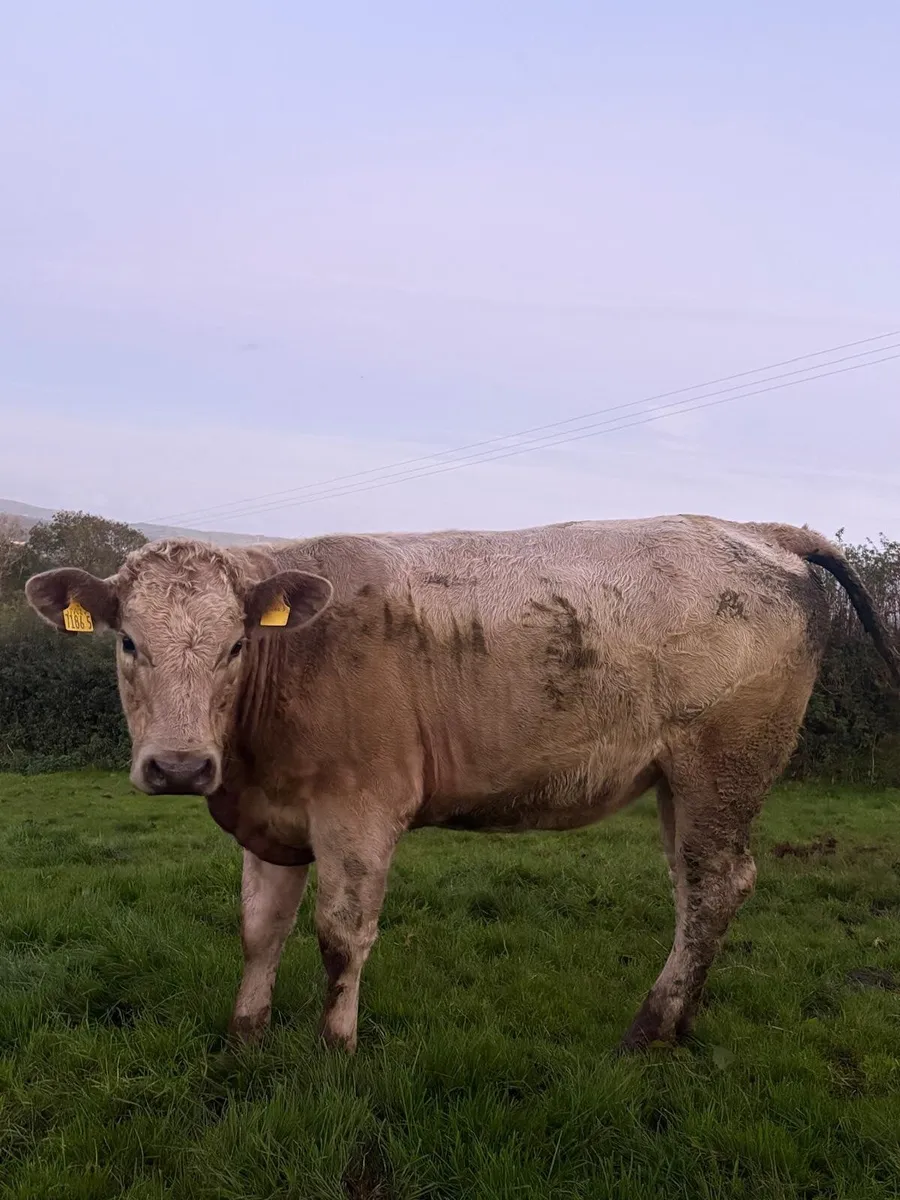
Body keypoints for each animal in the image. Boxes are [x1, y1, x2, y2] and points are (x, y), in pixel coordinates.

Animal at [25, 514, 900, 1052]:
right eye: (127, 642)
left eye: (235, 647)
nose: (179, 766)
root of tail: (755, 530)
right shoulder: (270, 822)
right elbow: (259, 931)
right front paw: (245, 1039)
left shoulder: (360, 811)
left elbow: (341, 936)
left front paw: (334, 1047)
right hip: (680, 782)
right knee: (697, 890)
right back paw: (681, 1021)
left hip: (725, 765)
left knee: (717, 885)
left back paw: (648, 1030)